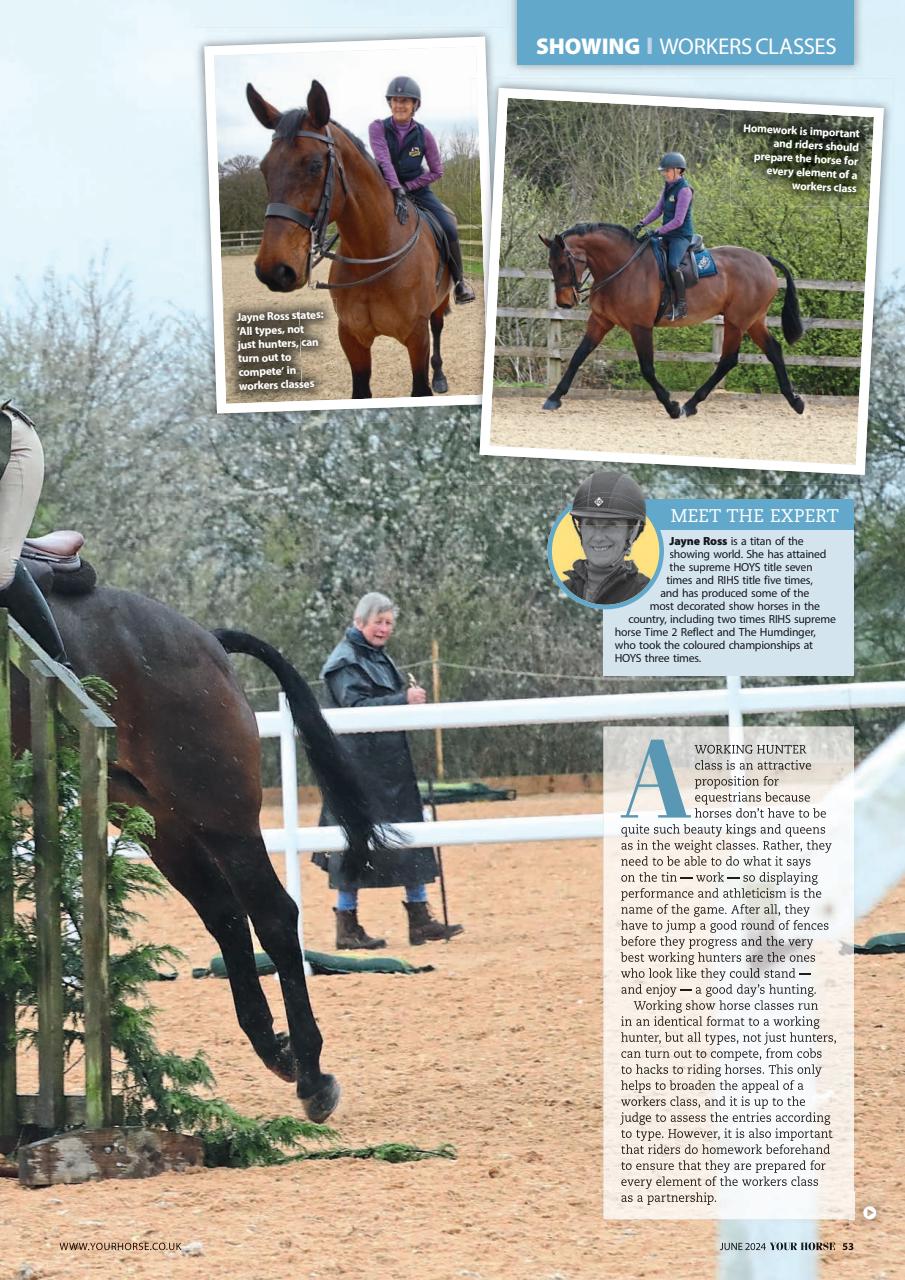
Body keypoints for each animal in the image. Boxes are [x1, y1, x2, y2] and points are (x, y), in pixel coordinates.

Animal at [10, 574, 386, 1124]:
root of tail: (205, 639)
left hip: (216, 807)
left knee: (270, 914)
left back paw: (311, 1074)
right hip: (153, 814)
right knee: (224, 913)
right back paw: (277, 1050)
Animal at [247, 80, 453, 399]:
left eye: (315, 165)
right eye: (264, 169)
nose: (274, 270)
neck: (374, 255)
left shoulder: (417, 339)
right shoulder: (352, 339)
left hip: (440, 304)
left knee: (438, 327)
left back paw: (440, 376)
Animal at [539, 225, 806, 420]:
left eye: (562, 264)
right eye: (550, 265)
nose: (564, 302)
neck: (622, 268)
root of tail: (764, 259)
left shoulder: (640, 327)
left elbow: (647, 368)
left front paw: (671, 406)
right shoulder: (600, 321)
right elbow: (578, 356)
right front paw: (554, 397)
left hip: (737, 322)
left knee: (728, 360)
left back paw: (690, 404)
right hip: (752, 321)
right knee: (773, 350)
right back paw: (795, 401)